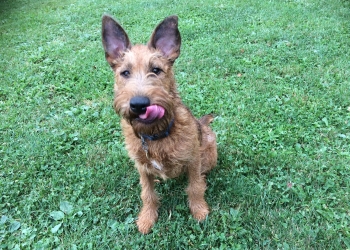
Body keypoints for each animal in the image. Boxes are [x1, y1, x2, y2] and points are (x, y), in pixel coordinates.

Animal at [100, 15, 216, 234]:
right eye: (125, 73)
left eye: (156, 70)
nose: (139, 104)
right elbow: (147, 194)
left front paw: (199, 210)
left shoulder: (192, 160)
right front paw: (147, 218)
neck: (156, 134)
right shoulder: (142, 168)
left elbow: (195, 187)